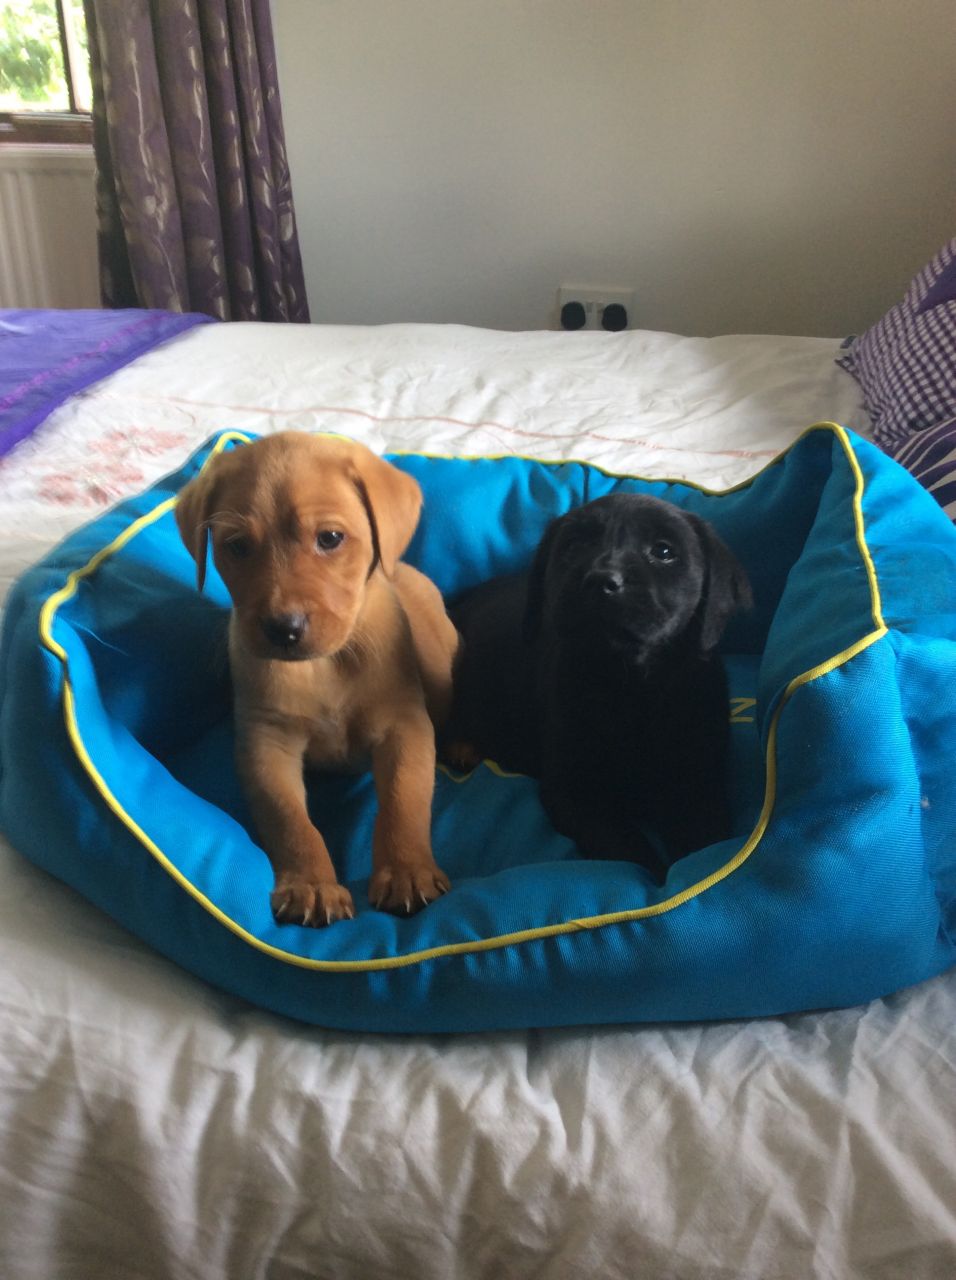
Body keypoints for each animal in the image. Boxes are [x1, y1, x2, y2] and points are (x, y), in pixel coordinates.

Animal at [442, 491, 757, 880]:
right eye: (575, 546)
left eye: (663, 551)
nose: (601, 581)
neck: (630, 686)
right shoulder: (575, 793)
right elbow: (628, 848)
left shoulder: (697, 783)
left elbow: (703, 844)